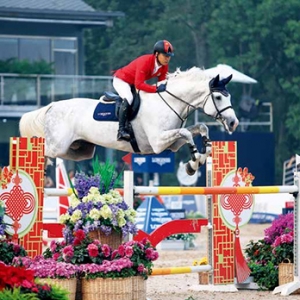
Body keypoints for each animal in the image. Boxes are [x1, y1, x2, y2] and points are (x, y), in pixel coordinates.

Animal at [19, 67, 239, 176]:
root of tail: (52, 106)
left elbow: (200, 128)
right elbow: (187, 133)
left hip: (79, 150)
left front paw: (201, 157)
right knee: (44, 151)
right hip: (57, 145)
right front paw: (194, 160)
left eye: (228, 96)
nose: (233, 123)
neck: (170, 102)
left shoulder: (172, 143)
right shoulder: (158, 142)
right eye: (218, 97)